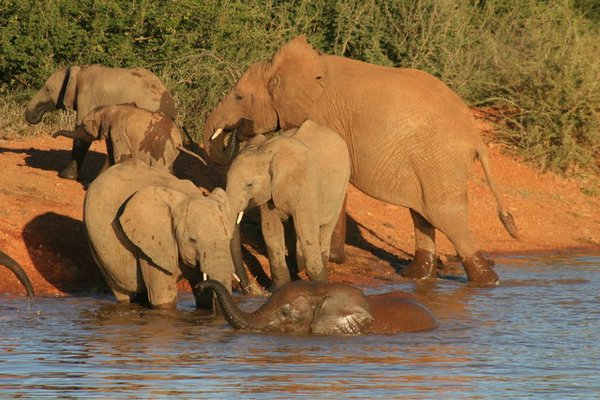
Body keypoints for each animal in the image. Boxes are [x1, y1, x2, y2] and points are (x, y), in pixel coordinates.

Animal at [25, 64, 176, 181]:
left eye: (47, 89)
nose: (53, 136)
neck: (79, 69)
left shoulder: (86, 96)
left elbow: (81, 133)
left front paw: (65, 176)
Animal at [54, 104, 209, 176]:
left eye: (85, 128)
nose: (54, 136)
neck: (108, 109)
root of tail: (178, 141)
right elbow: (111, 157)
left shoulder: (117, 130)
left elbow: (121, 155)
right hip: (168, 151)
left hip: (160, 148)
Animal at [85, 159, 239, 310]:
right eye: (192, 240)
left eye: (229, 239)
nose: (201, 286)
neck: (189, 196)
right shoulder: (152, 245)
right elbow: (163, 295)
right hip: (98, 248)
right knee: (121, 292)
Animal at [225, 120, 350, 290]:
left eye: (249, 185)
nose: (248, 288)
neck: (266, 151)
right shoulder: (270, 190)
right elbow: (271, 229)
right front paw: (278, 289)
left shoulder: (305, 183)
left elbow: (306, 230)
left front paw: (319, 285)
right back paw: (296, 267)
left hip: (342, 185)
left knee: (325, 228)